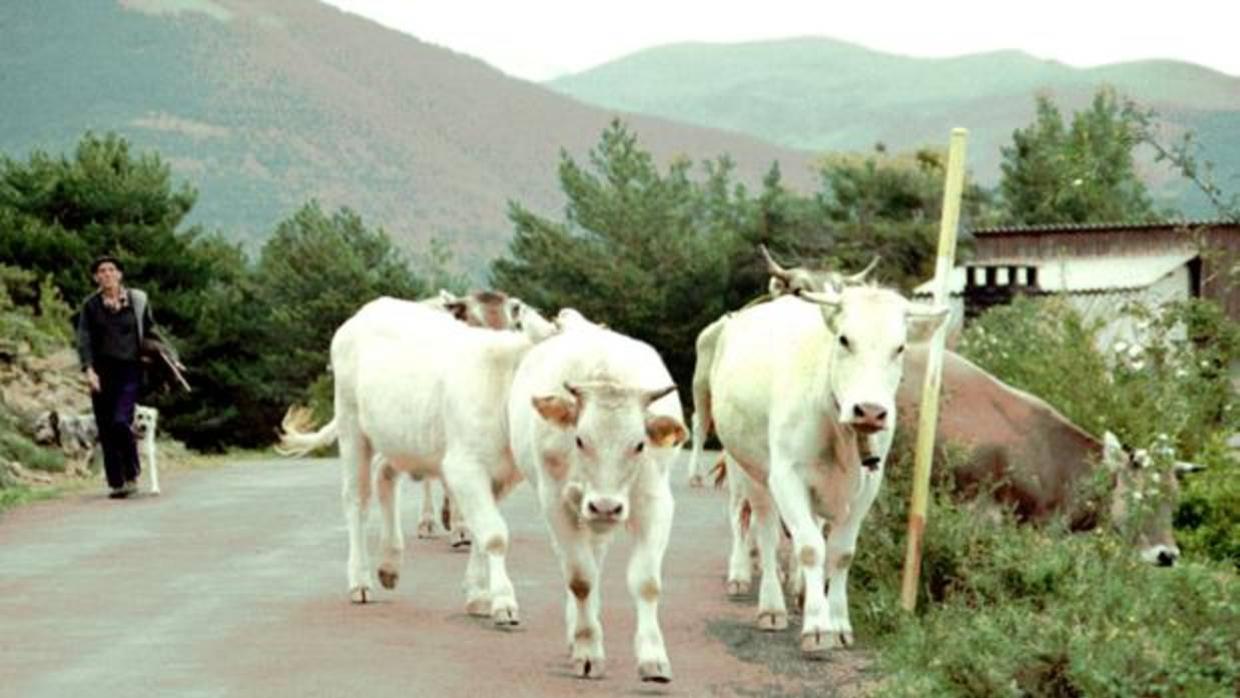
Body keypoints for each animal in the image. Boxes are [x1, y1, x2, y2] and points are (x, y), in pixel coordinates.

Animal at [32, 406, 161, 493]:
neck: (61, 428)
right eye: (36, 427)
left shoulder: (87, 449)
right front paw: (72, 476)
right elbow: (71, 469)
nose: (35, 441)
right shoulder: (70, 454)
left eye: (42, 427)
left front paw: (85, 474)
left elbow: (80, 467)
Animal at [281, 295, 558, 622]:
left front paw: (478, 595)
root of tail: (370, 309)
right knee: (357, 500)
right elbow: (493, 534)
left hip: (402, 437)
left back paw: (389, 564)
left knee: (384, 476)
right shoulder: (464, 467)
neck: (499, 384)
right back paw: (360, 581)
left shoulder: (500, 477)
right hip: (352, 425)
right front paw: (503, 601)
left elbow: (481, 532)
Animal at [508, 311, 694, 684]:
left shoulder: (655, 502)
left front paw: (653, 658)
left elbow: (647, 582)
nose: (606, 506)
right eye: (580, 440)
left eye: (639, 444)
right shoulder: (556, 503)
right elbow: (581, 579)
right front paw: (587, 650)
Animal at [714, 286, 942, 654]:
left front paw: (837, 622)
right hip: (748, 470)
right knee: (758, 528)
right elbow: (809, 548)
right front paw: (817, 628)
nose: (870, 411)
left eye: (900, 348)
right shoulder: (787, 476)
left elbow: (840, 554)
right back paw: (767, 602)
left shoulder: (868, 485)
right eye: (845, 340)